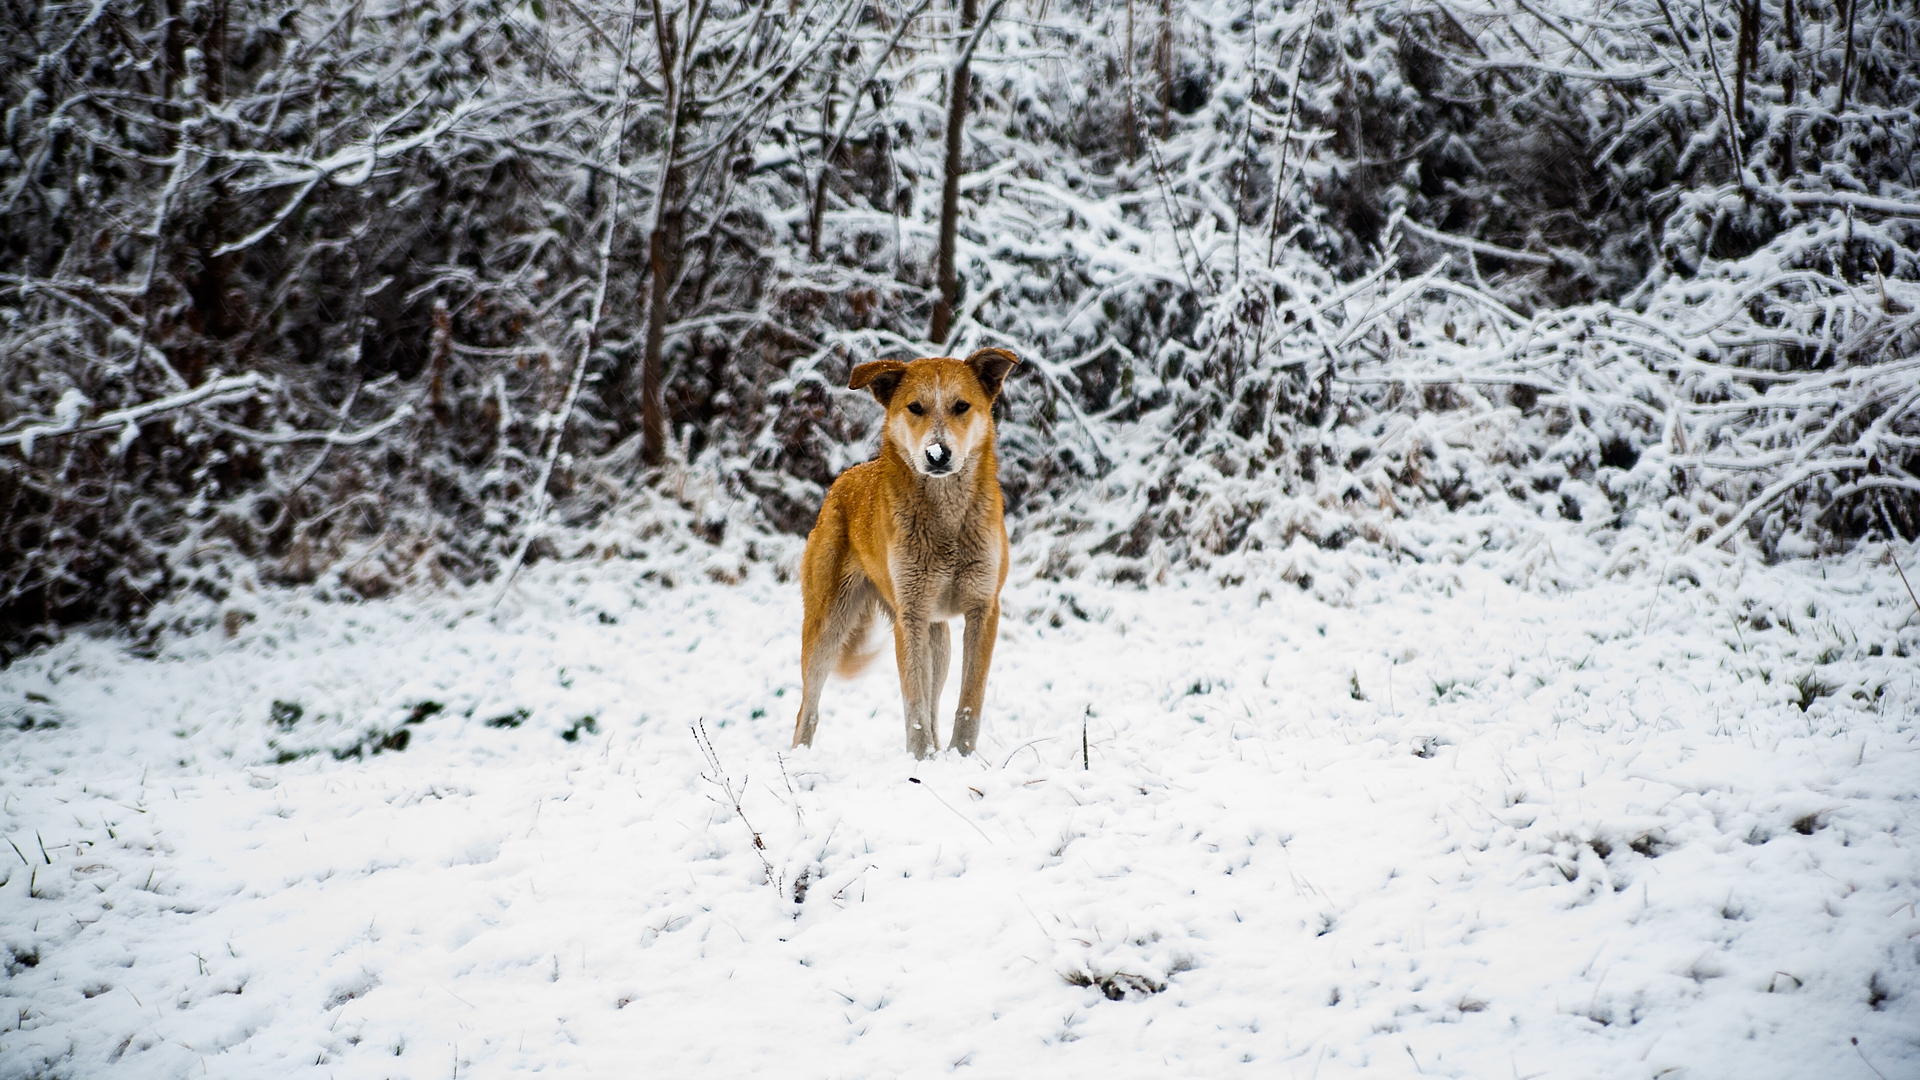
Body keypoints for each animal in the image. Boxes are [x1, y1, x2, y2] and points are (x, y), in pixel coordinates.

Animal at [791, 345, 1021, 757]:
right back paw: (799, 756)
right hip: (827, 626)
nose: (937, 454)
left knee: (934, 700)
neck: (946, 522)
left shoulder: (983, 609)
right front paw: (922, 760)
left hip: (938, 637)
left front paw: (960, 756)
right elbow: (914, 704)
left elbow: (968, 700)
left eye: (962, 406)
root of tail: (844, 478)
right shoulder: (910, 617)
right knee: (808, 708)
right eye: (915, 407)